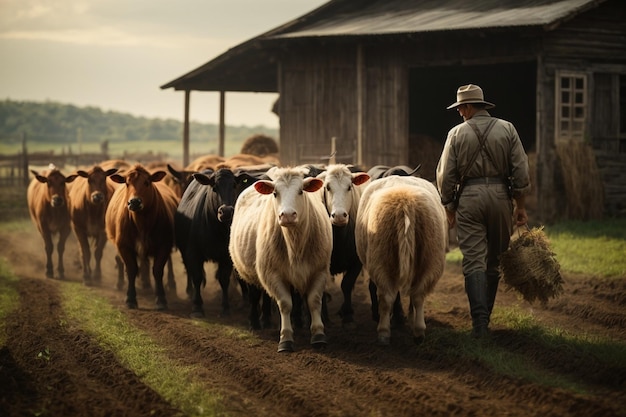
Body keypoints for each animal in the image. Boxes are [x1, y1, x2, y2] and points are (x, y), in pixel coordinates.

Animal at [104, 163, 178, 308]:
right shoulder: (124, 246)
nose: (134, 202)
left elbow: (158, 270)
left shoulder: (164, 245)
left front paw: (161, 299)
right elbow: (132, 269)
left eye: (147, 182)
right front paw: (130, 298)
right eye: (127, 183)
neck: (142, 224)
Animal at [173, 167, 258, 316]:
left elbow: (224, 279)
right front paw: (197, 306)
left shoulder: (226, 257)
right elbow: (197, 277)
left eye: (234, 185)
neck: (216, 229)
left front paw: (225, 307)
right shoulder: (193, 253)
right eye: (214, 187)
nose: (226, 211)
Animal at [228, 166, 332, 352]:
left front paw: (318, 335)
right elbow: (284, 304)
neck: (295, 244)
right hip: (249, 272)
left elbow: (313, 301)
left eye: (301, 191)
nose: (288, 215)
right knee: (254, 296)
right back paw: (256, 323)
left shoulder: (319, 270)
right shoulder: (272, 274)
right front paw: (285, 339)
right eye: (275, 193)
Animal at [316, 164, 370, 326]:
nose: (339, 216)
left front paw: (347, 315)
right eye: (327, 187)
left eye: (349, 186)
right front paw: (324, 318)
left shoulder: (356, 261)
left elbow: (346, 284)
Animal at [354, 175, 446, 344]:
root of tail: (405, 202)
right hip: (429, 256)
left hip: (381, 255)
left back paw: (384, 332)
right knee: (418, 295)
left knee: (386, 296)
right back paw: (418, 332)